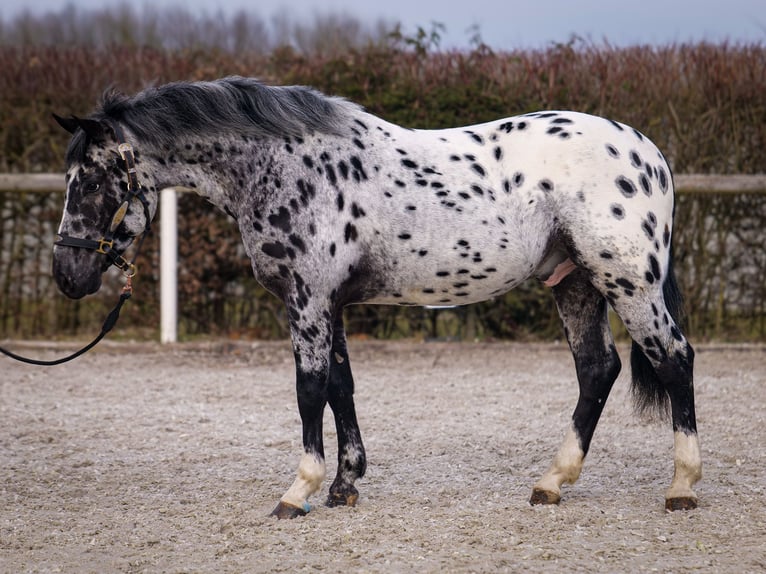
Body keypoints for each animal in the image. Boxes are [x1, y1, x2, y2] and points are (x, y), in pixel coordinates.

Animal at [52, 74, 704, 520]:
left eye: (91, 180)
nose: (67, 273)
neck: (284, 164)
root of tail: (651, 155)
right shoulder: (330, 304)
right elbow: (340, 387)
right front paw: (344, 485)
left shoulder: (307, 299)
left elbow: (309, 389)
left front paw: (299, 490)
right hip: (575, 282)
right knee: (597, 370)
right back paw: (551, 482)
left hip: (627, 282)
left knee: (674, 359)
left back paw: (681, 486)